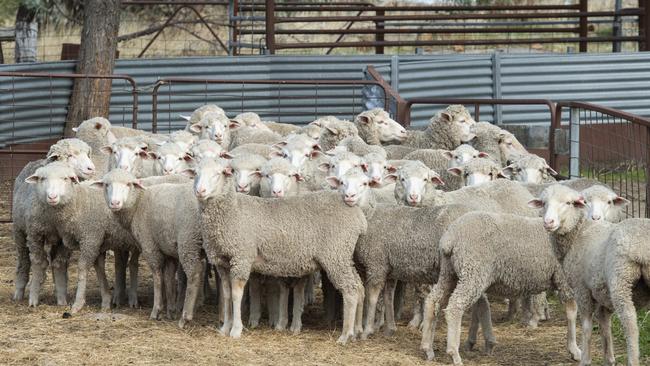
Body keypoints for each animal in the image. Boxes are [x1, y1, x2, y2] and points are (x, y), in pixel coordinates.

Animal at [11, 137, 95, 304]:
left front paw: (62, 299)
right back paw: (19, 291)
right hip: (20, 231)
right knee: (24, 260)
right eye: (70, 155)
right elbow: (38, 263)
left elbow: (59, 264)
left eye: (87, 153)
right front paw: (33, 299)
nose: (91, 168)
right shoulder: (35, 234)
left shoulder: (65, 238)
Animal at [90, 170, 204, 328]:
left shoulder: (150, 246)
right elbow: (169, 278)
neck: (139, 202)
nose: (115, 203)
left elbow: (157, 277)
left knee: (194, 274)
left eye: (129, 184)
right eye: (106, 185)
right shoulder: (167, 249)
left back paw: (185, 317)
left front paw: (157, 310)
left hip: (189, 241)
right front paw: (171, 310)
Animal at [191, 157, 364, 344]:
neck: (232, 211)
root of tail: (358, 215)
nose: (200, 191)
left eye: (218, 174)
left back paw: (345, 335)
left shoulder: (241, 258)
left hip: (335, 255)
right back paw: (357, 331)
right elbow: (227, 293)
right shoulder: (222, 262)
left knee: (351, 290)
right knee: (359, 287)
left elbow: (236, 294)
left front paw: (236, 329)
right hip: (343, 255)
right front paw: (225, 328)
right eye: (196, 173)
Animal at [418, 207, 580, 364]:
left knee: (433, 301)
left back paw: (428, 349)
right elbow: (572, 312)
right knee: (454, 307)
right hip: (472, 270)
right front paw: (575, 350)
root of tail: (449, 237)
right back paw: (454, 354)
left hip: (449, 272)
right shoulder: (565, 280)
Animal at [528, 186, 648, 366]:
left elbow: (586, 326)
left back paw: (632, 360)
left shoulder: (581, 289)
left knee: (630, 324)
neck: (579, 231)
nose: (548, 222)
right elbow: (605, 326)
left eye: (569, 203)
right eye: (543, 203)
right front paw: (609, 359)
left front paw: (584, 358)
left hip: (620, 281)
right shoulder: (602, 295)